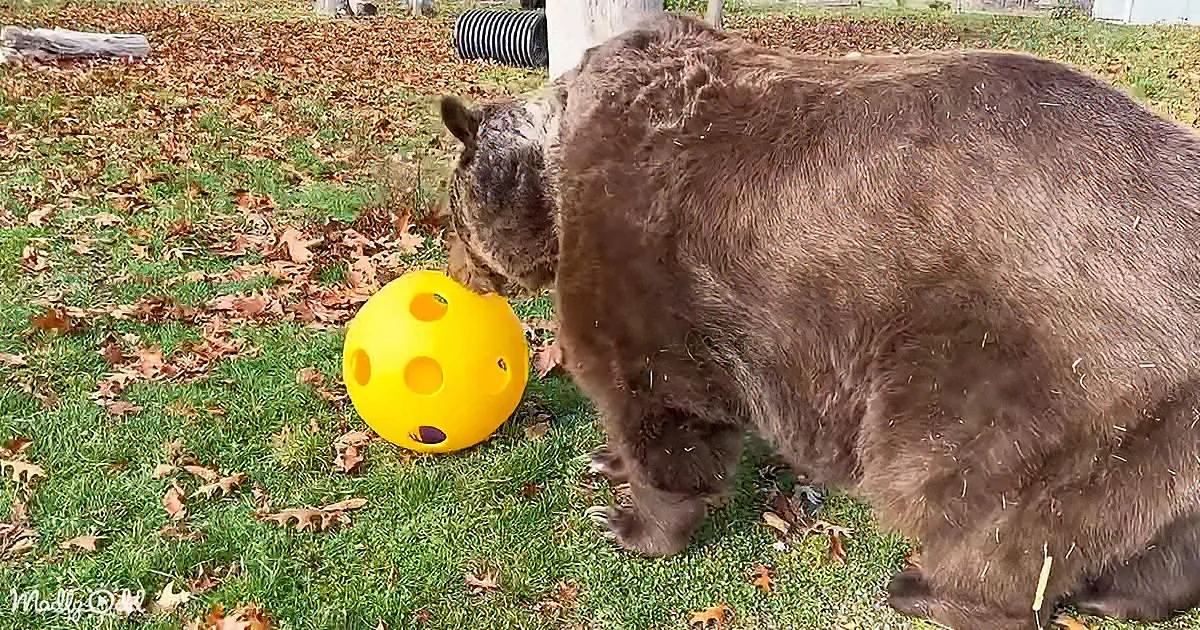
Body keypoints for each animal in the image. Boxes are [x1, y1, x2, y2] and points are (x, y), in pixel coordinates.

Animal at [436, 12, 1200, 630]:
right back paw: (1118, 594)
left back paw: (925, 589)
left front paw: (629, 522)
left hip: (1036, 371)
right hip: (1156, 420)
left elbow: (661, 404)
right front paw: (603, 461)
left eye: (451, 215)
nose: (459, 274)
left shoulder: (640, 255)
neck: (557, 172)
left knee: (985, 507)